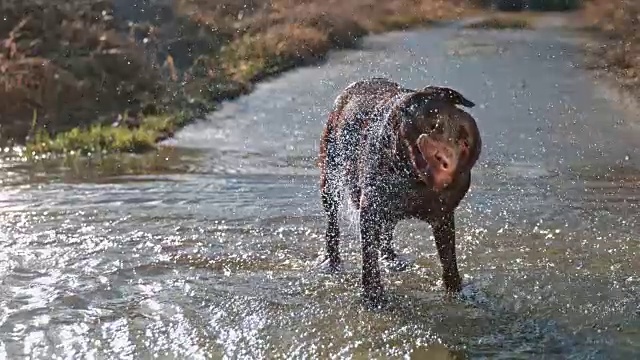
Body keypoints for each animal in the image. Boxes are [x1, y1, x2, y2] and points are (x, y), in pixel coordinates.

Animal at [316, 77, 480, 306]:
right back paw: (333, 261)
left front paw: (456, 291)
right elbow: (369, 258)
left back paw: (391, 258)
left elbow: (449, 260)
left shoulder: (443, 217)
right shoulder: (371, 209)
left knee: (387, 230)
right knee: (332, 222)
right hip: (330, 175)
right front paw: (373, 296)